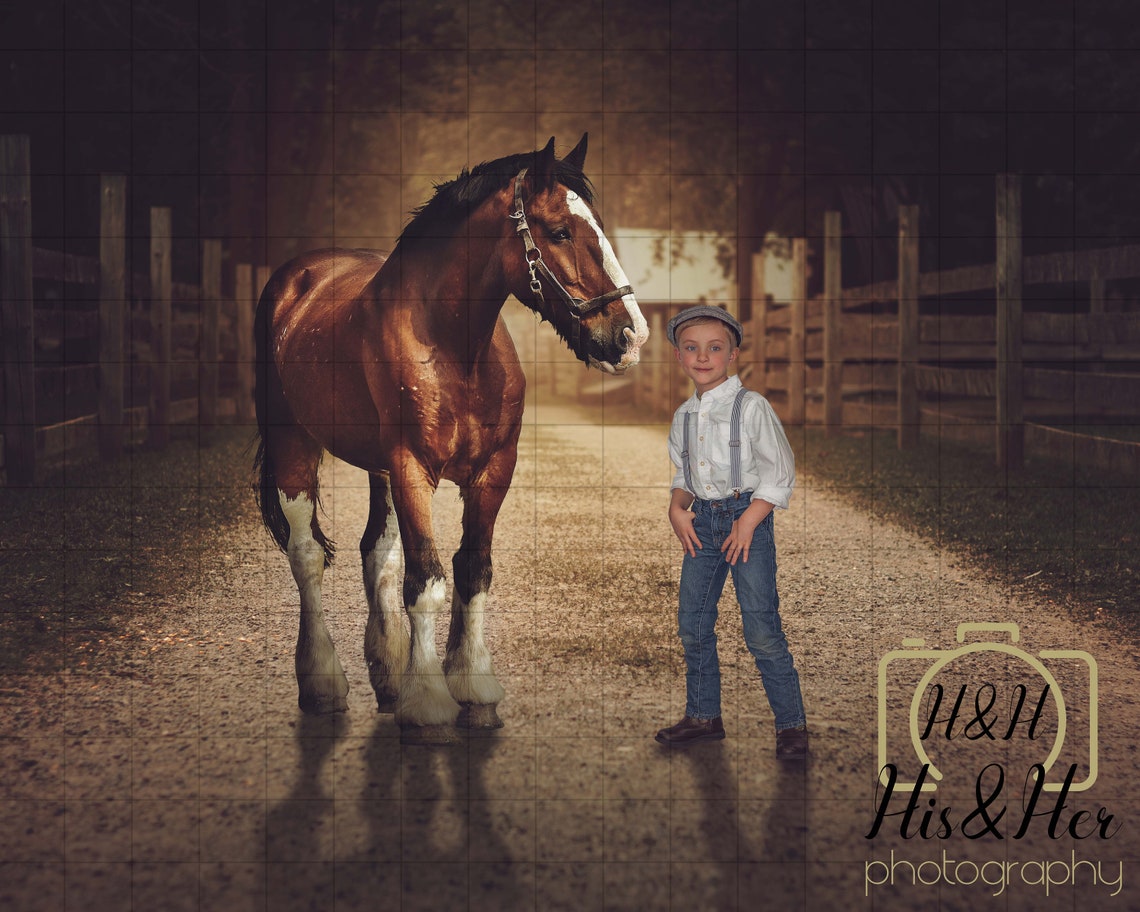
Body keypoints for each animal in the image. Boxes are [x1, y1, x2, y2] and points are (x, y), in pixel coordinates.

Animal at [253, 134, 647, 743]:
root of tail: (295, 281)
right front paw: (429, 701)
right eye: (560, 231)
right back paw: (323, 683)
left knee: (377, 552)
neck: (455, 349)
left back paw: (387, 674)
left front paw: (471, 684)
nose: (630, 337)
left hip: (379, 471)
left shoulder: (492, 470)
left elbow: (471, 570)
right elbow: (428, 581)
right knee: (308, 557)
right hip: (296, 446)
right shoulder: (413, 468)